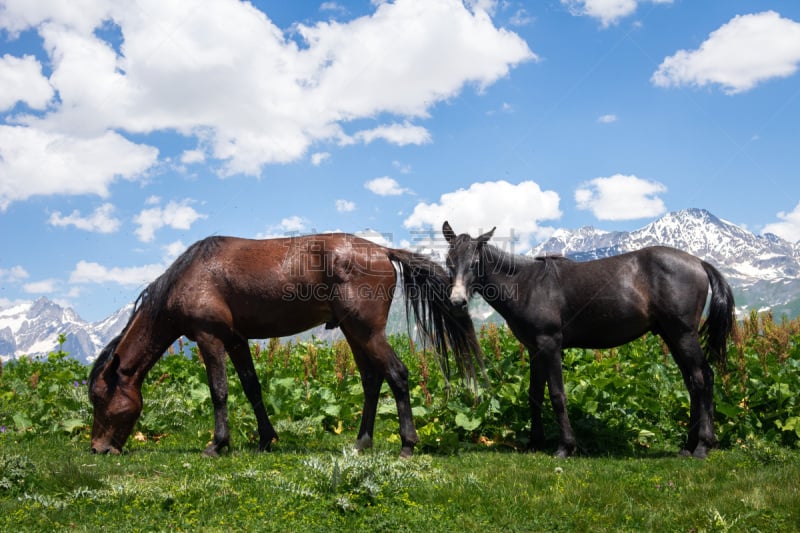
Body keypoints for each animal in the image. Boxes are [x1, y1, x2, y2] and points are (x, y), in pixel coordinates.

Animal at [88, 233, 482, 458]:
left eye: (99, 399)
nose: (98, 448)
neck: (191, 274)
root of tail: (382, 251)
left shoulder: (208, 337)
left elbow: (219, 391)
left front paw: (217, 444)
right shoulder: (236, 340)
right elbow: (252, 388)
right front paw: (266, 439)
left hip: (368, 332)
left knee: (397, 375)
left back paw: (406, 445)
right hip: (355, 333)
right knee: (372, 381)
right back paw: (361, 443)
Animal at [440, 220, 736, 458]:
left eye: (474, 263)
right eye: (449, 262)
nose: (456, 302)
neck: (527, 285)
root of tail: (698, 263)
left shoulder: (550, 346)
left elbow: (557, 395)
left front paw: (565, 447)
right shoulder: (535, 350)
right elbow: (534, 394)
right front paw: (535, 443)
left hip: (683, 334)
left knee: (701, 378)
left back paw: (702, 446)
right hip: (672, 336)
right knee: (693, 383)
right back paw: (688, 446)